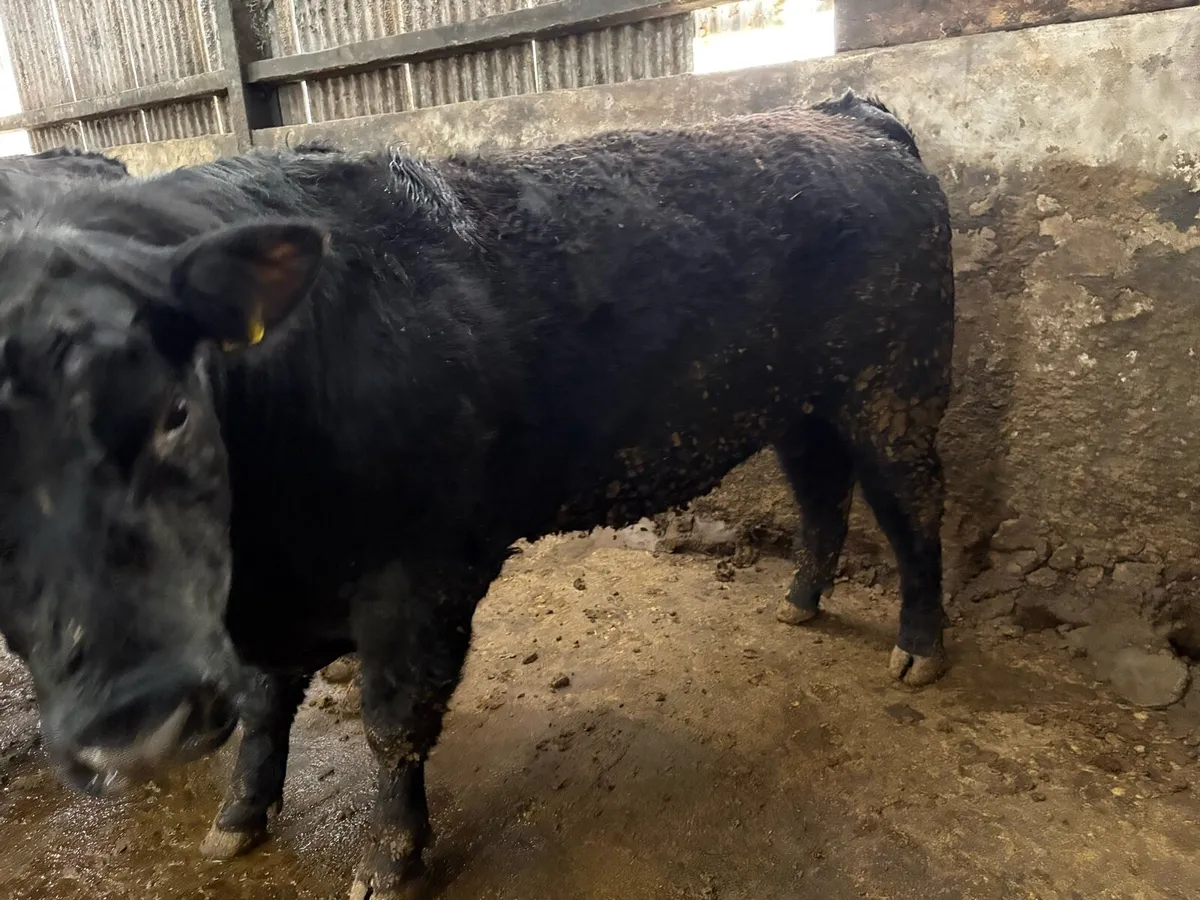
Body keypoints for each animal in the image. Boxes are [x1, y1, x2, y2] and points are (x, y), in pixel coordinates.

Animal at [0, 92, 954, 898]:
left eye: (173, 410)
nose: (132, 728)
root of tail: (849, 116)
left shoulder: (422, 573)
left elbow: (392, 720)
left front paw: (390, 861)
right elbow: (268, 704)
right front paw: (237, 820)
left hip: (894, 386)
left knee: (913, 510)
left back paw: (919, 650)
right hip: (800, 404)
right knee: (822, 493)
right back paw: (801, 600)